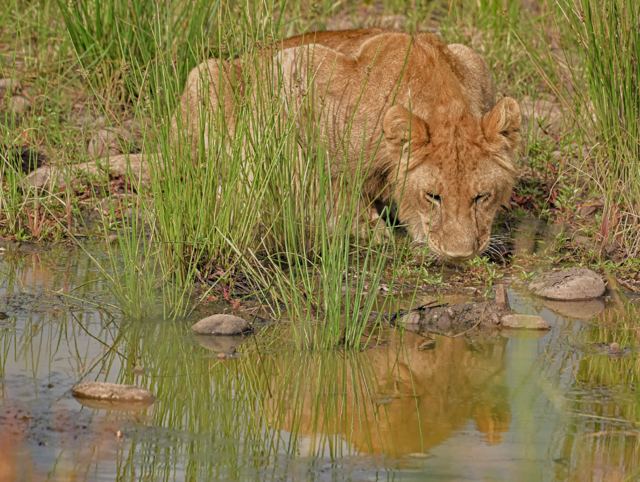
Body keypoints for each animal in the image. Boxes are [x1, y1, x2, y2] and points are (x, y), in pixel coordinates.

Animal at [175, 29, 521, 261]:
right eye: (432, 196)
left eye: (482, 197)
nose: (459, 255)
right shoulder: (295, 65)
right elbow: (317, 178)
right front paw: (367, 227)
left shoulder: (472, 61)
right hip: (204, 75)